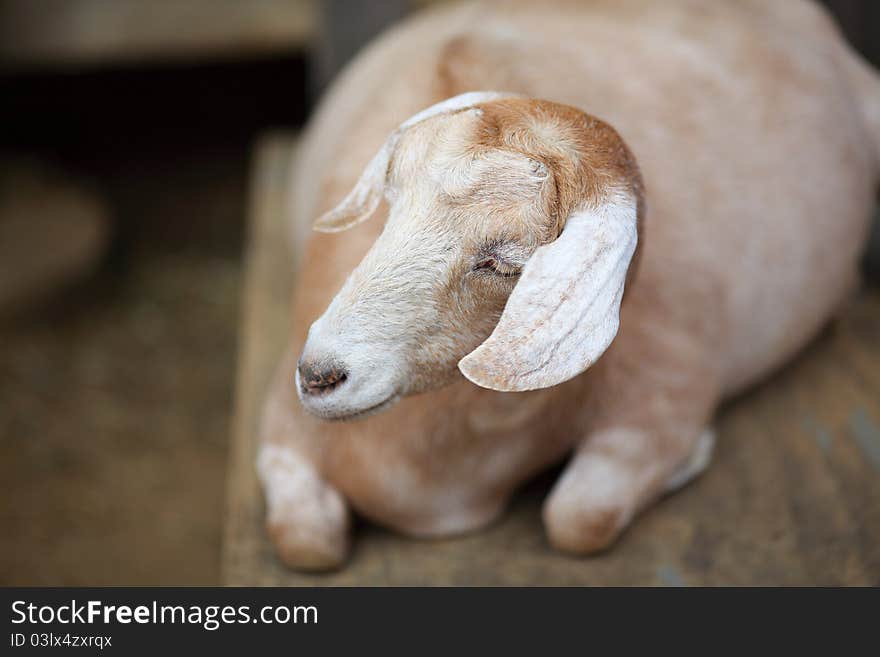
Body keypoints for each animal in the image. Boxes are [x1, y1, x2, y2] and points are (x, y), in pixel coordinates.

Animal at [256, 0, 880, 568]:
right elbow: (305, 542)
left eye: (506, 261)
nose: (318, 376)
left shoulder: (669, 388)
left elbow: (579, 519)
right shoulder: (279, 429)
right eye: (390, 208)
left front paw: (692, 457)